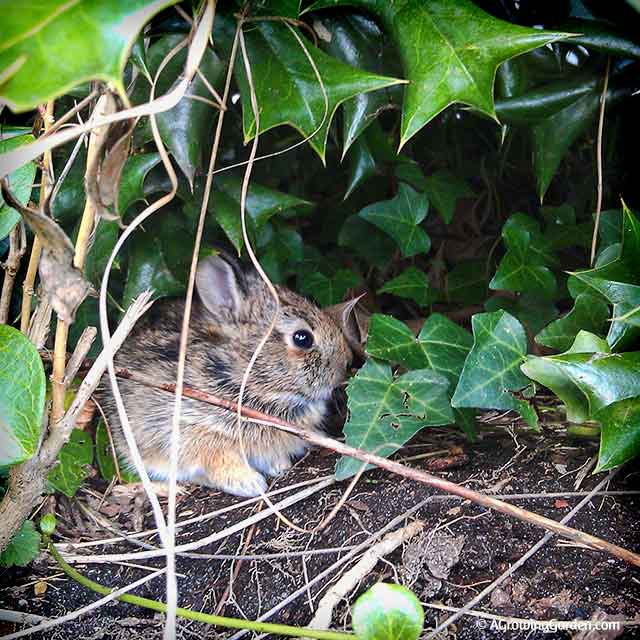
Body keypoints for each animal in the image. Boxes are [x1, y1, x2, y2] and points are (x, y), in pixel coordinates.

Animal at [97, 252, 352, 498]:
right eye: (302, 338)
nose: (346, 363)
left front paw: (278, 466)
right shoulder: (193, 431)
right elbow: (217, 460)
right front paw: (250, 483)